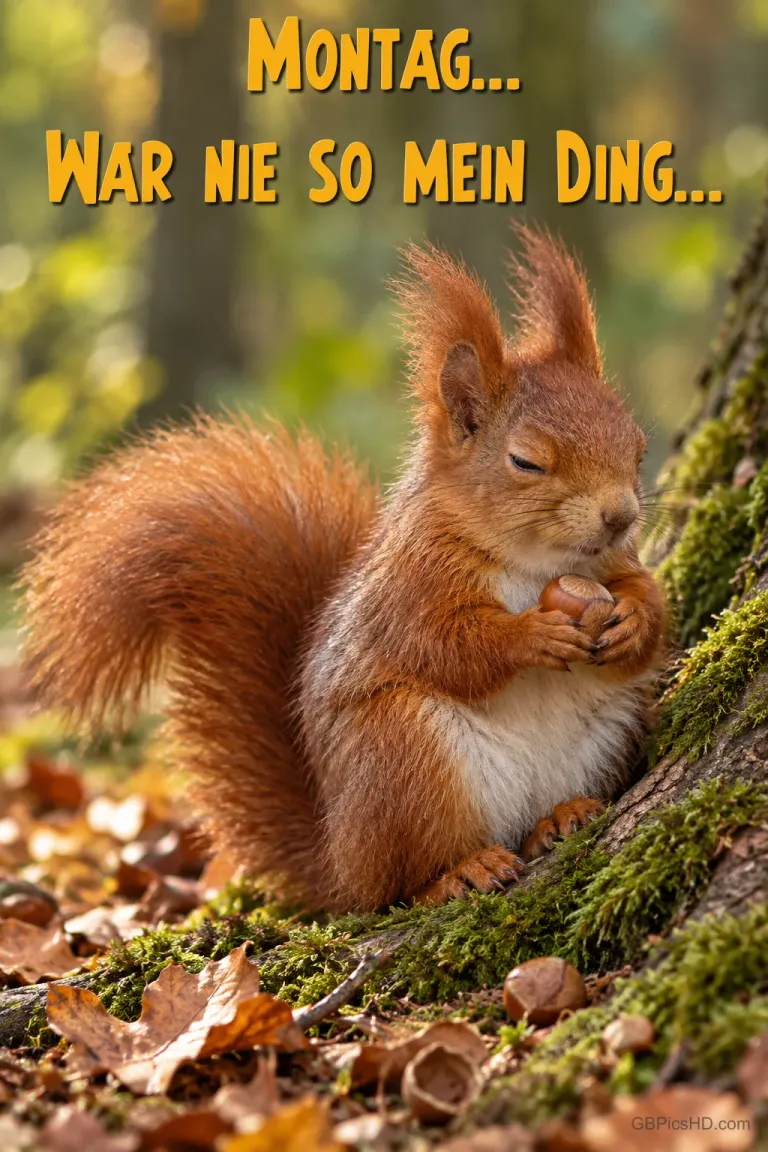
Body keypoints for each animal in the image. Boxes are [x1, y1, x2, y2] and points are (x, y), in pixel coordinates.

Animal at [20, 224, 665, 913]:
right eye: (526, 462)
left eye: (638, 449)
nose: (621, 516)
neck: (530, 561)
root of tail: (341, 856)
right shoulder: (409, 586)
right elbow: (444, 646)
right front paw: (530, 634)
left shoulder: (613, 563)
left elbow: (648, 602)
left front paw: (631, 617)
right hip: (404, 757)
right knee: (401, 880)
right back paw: (458, 872)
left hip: (602, 738)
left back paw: (560, 817)